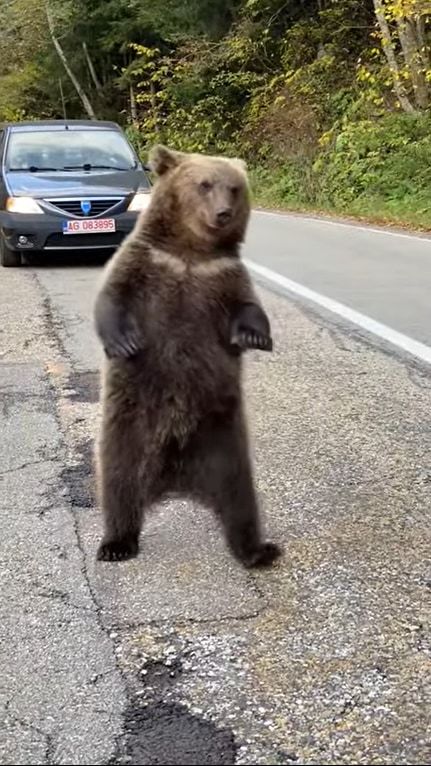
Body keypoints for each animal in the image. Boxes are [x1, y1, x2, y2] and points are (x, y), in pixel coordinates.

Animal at [94, 146, 282, 568]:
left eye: (234, 188)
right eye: (204, 184)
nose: (223, 213)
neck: (191, 253)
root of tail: (177, 478)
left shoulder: (223, 276)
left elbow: (249, 307)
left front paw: (253, 334)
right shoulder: (145, 262)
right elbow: (112, 298)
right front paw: (125, 342)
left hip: (225, 444)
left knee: (240, 499)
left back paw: (258, 550)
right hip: (131, 430)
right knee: (120, 483)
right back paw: (116, 542)